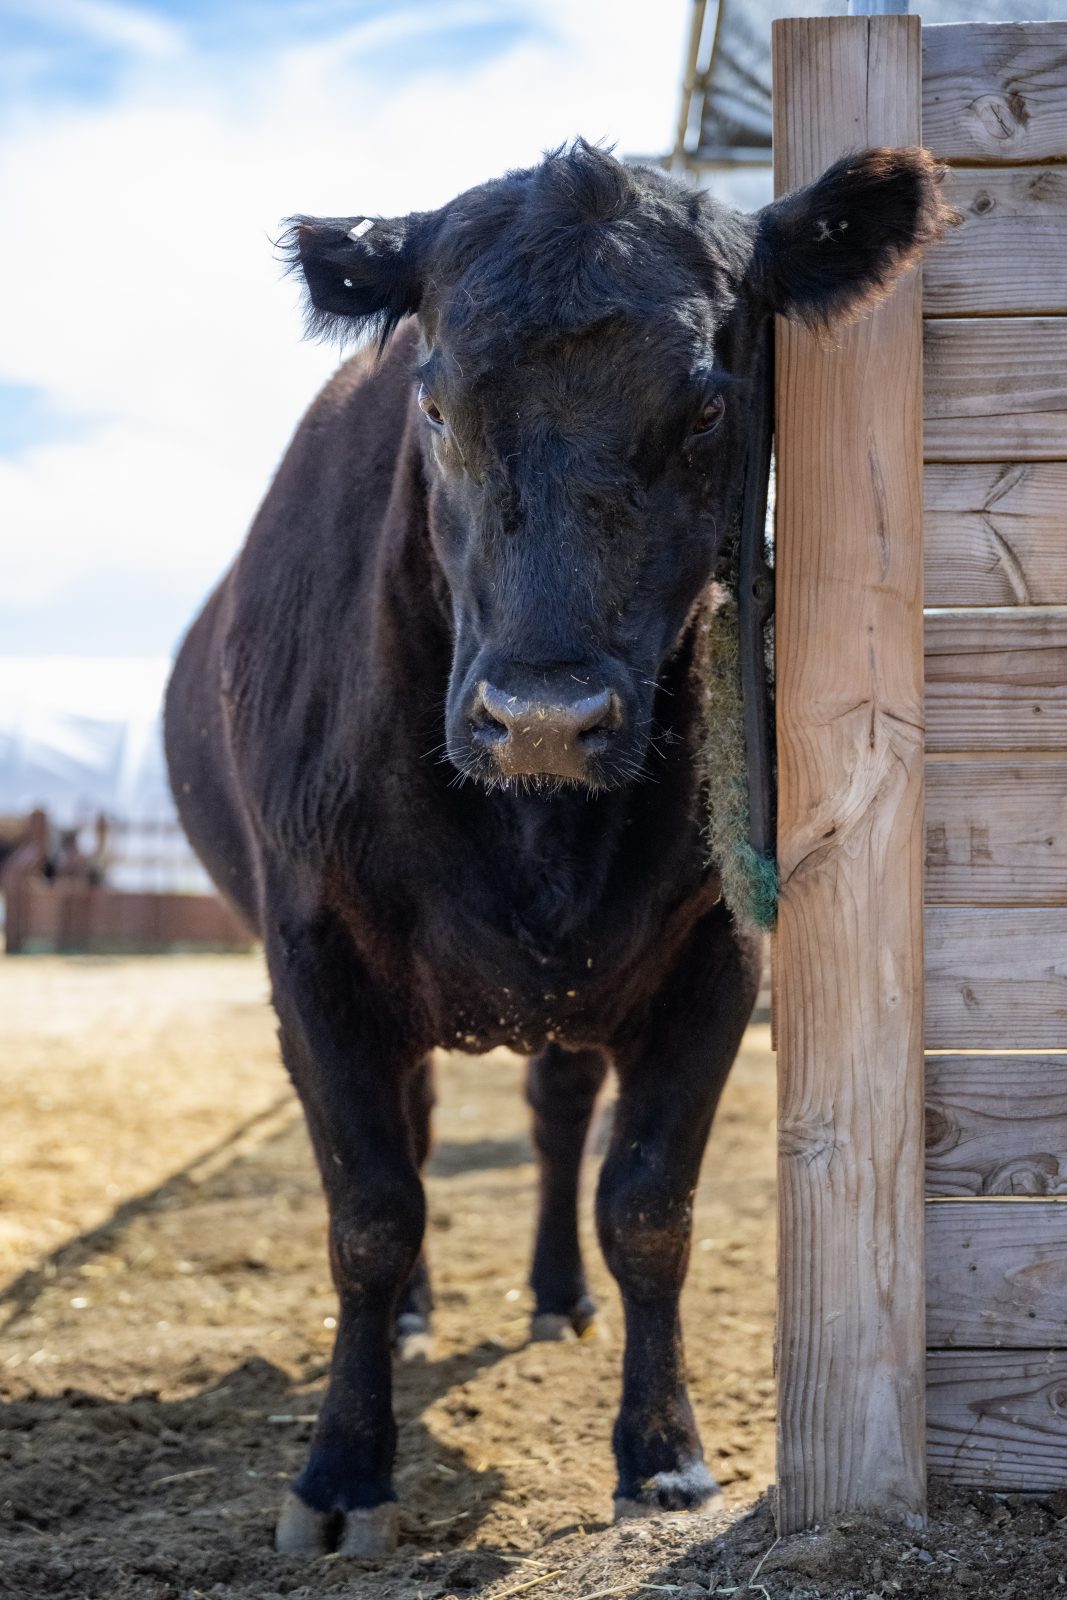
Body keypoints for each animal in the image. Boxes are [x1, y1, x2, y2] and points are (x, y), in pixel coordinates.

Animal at [167, 144, 953, 1555]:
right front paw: (339, 1471)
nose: (540, 715)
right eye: (431, 405)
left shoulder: (714, 951)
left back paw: (553, 1293)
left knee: (552, 1118)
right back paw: (419, 1315)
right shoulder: (309, 952)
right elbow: (370, 1208)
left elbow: (644, 1206)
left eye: (705, 411)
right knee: (423, 1135)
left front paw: (663, 1451)